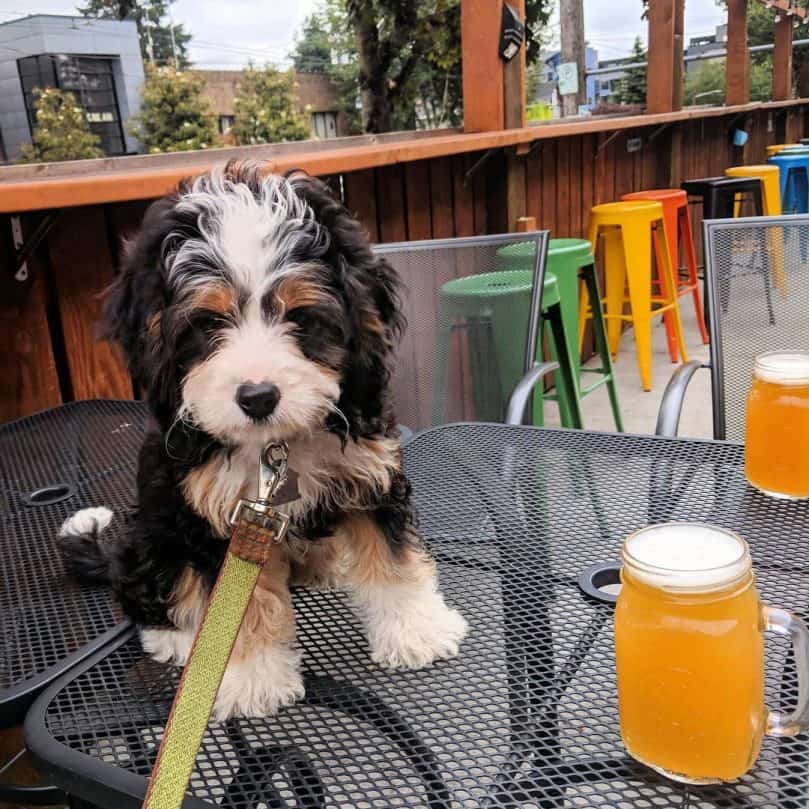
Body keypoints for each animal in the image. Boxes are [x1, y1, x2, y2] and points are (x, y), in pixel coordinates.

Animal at [60, 159, 468, 720]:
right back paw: (178, 637)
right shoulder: (215, 514)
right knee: (148, 589)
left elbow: (391, 555)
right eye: (208, 321)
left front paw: (416, 630)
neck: (276, 444)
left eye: (299, 316)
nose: (257, 397)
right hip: (154, 533)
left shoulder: (369, 471)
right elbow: (240, 606)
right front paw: (251, 677)